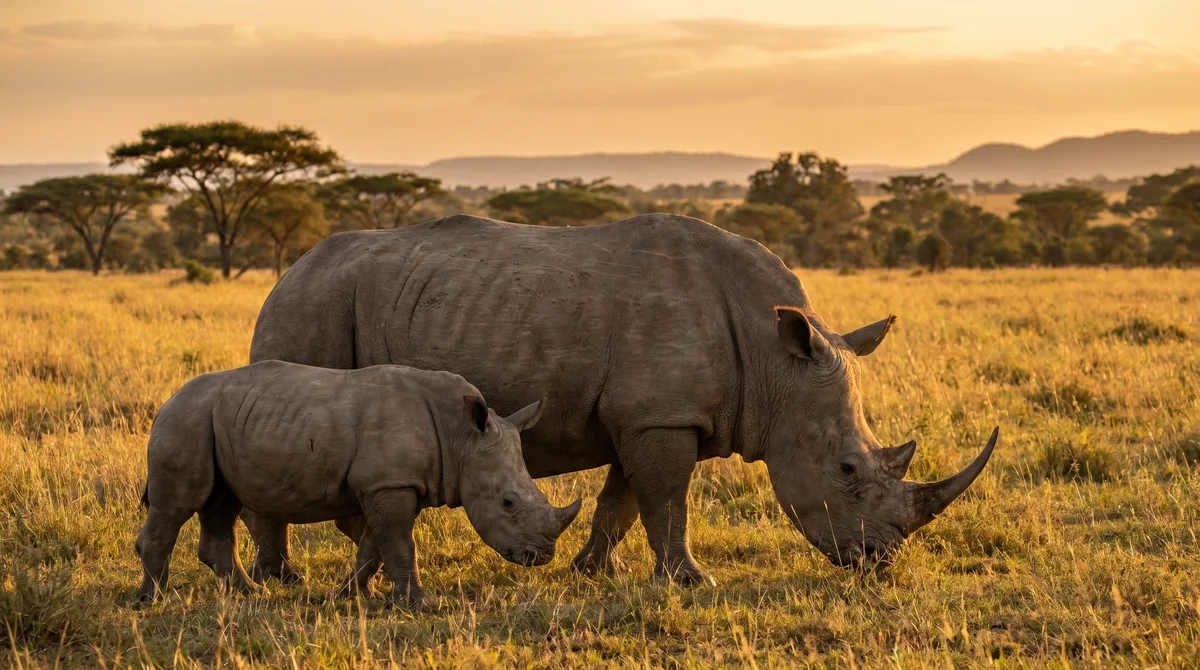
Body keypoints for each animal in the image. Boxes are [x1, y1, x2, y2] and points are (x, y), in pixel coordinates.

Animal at [135, 360, 582, 604]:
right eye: (508, 503)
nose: (541, 556)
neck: (462, 438)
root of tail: (167, 401)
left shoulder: (390, 483)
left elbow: (375, 546)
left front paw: (349, 595)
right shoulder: (389, 484)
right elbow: (398, 544)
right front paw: (423, 603)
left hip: (214, 422)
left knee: (221, 503)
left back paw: (251, 595)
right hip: (186, 419)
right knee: (179, 505)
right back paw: (151, 601)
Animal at [241, 213, 999, 586]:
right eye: (847, 471)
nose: (879, 562)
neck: (775, 358)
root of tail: (288, 269)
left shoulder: (645, 415)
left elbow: (624, 501)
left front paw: (589, 571)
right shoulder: (661, 416)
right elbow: (667, 500)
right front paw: (691, 584)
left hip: (327, 300)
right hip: (311, 306)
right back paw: (282, 582)